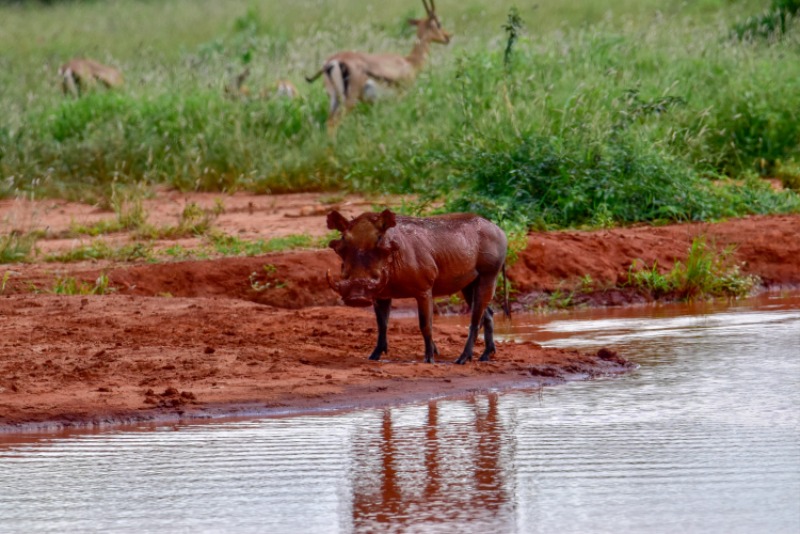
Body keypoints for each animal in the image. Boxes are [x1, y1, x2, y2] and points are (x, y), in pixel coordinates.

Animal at [306, 0, 450, 131]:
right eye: (439, 23)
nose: (448, 37)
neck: (409, 62)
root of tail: (332, 61)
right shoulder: (401, 96)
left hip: (334, 99)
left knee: (329, 122)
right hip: (349, 101)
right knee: (334, 123)